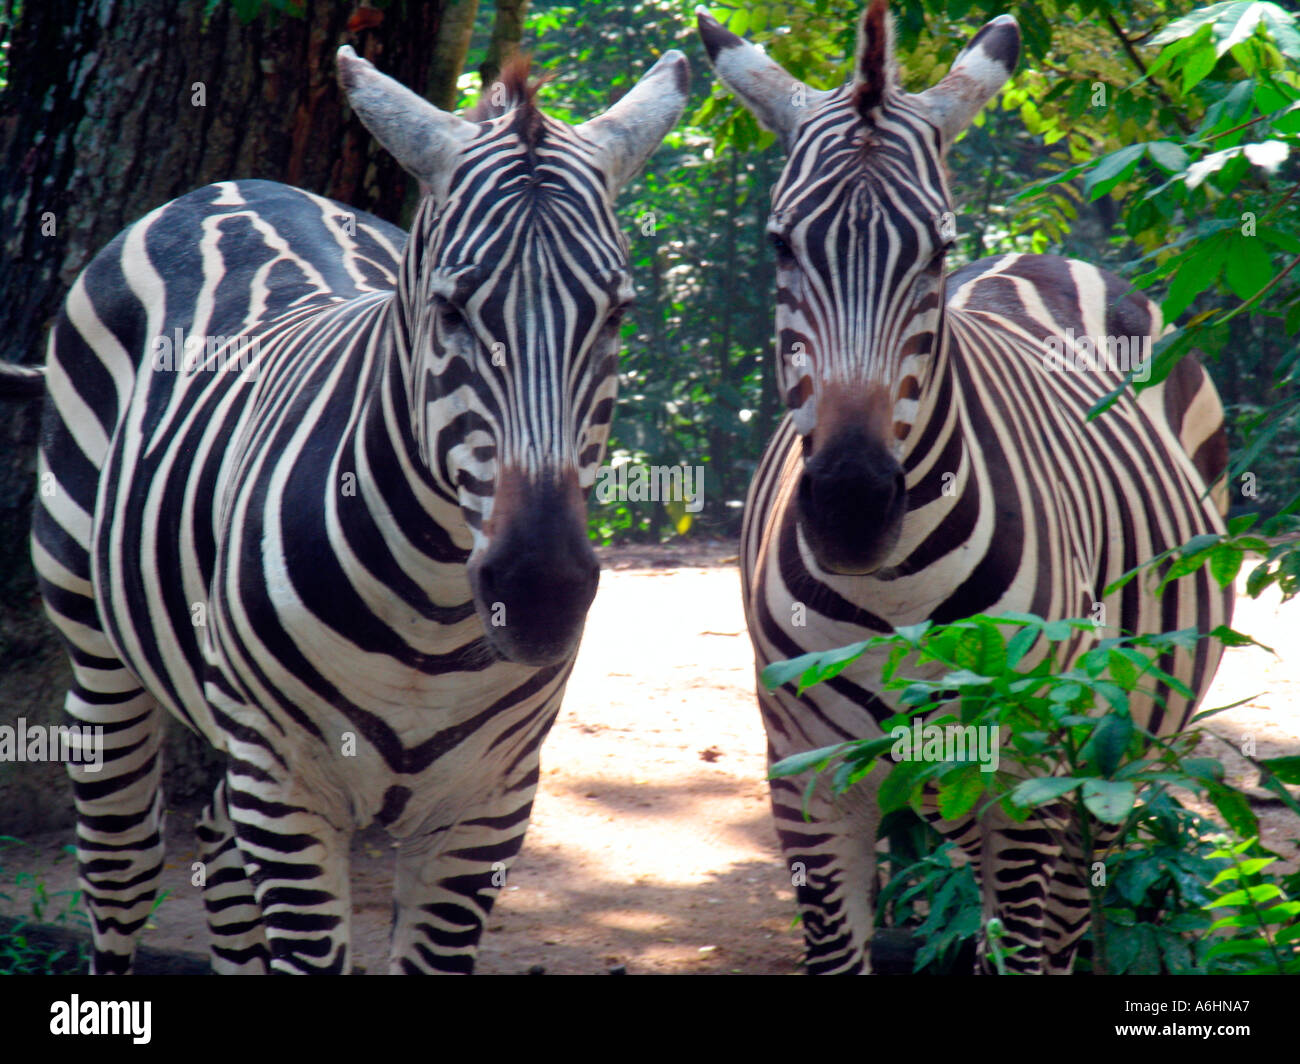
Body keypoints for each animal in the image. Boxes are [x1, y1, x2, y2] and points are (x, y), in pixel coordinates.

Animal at [6, 44, 688, 974]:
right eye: (450, 309)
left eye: (617, 314)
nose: (539, 593)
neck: (433, 622)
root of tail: (233, 185)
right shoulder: (290, 789)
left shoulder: (489, 802)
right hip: (98, 642)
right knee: (123, 860)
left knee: (215, 845)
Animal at [698, 2, 1232, 974]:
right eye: (779, 242)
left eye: (938, 248)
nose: (851, 511)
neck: (892, 593)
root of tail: (1054, 258)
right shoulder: (808, 776)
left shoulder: (1021, 777)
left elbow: (1019, 946)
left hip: (1106, 757)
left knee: (1066, 926)